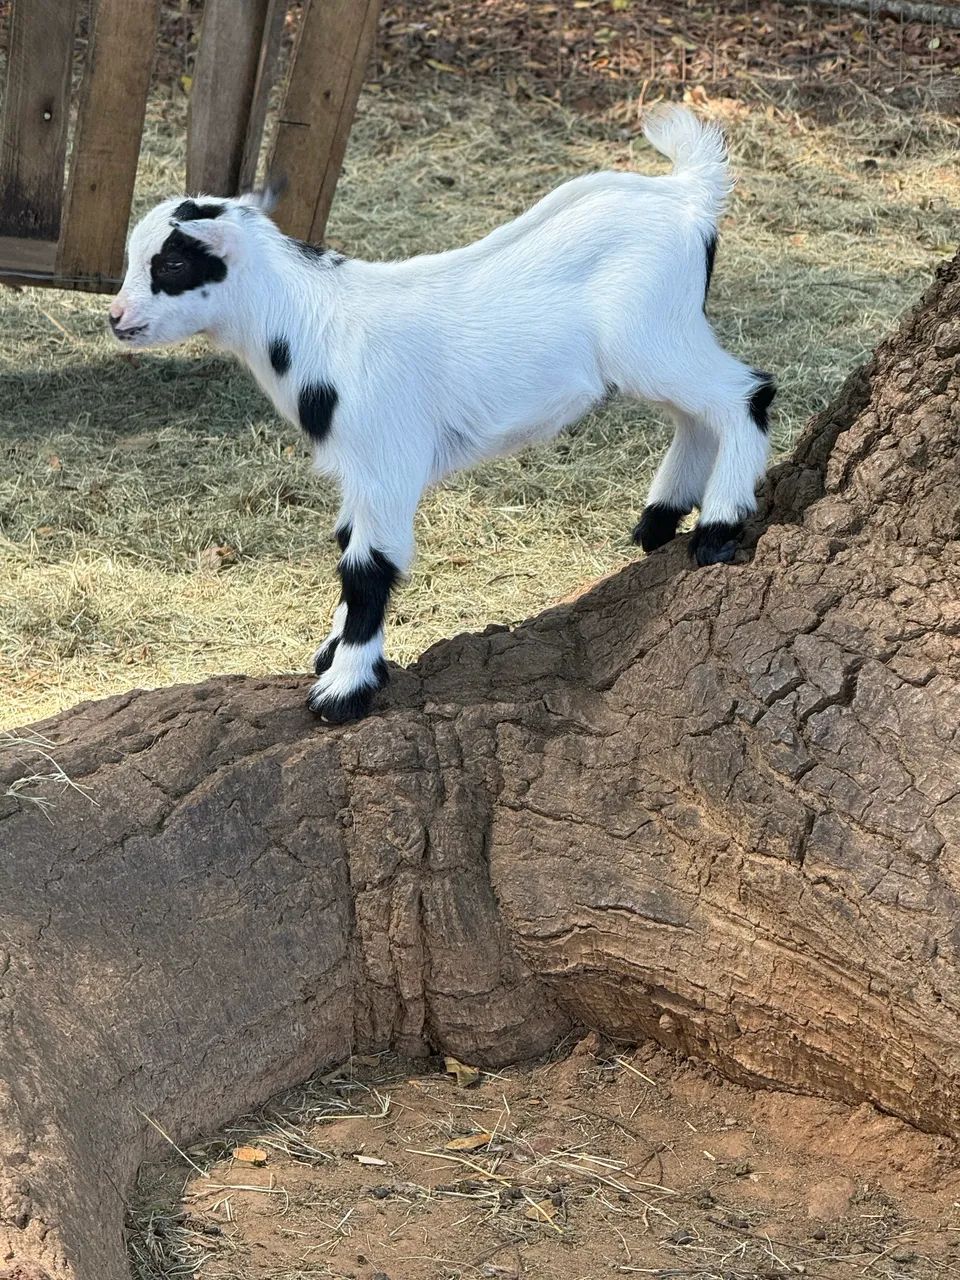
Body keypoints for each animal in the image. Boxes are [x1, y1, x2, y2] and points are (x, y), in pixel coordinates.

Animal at [109, 106, 775, 723]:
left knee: (746, 394)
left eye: (172, 265)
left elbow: (367, 565)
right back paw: (660, 519)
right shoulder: (359, 466)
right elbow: (347, 542)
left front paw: (343, 689)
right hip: (654, 347)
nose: (116, 318)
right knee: (695, 416)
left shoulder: (387, 454)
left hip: (653, 336)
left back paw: (717, 528)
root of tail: (687, 195)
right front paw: (335, 653)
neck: (313, 321)